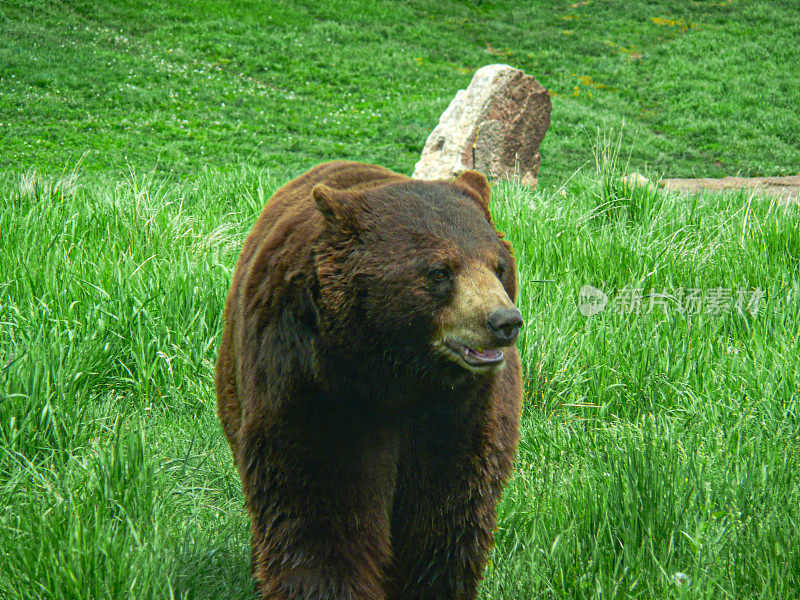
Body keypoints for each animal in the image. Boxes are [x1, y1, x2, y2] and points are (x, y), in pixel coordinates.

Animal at [214, 161, 524, 600]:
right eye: (440, 272)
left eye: (499, 266)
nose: (503, 321)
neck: (398, 375)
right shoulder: (315, 386)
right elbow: (318, 506)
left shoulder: (463, 411)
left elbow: (444, 516)